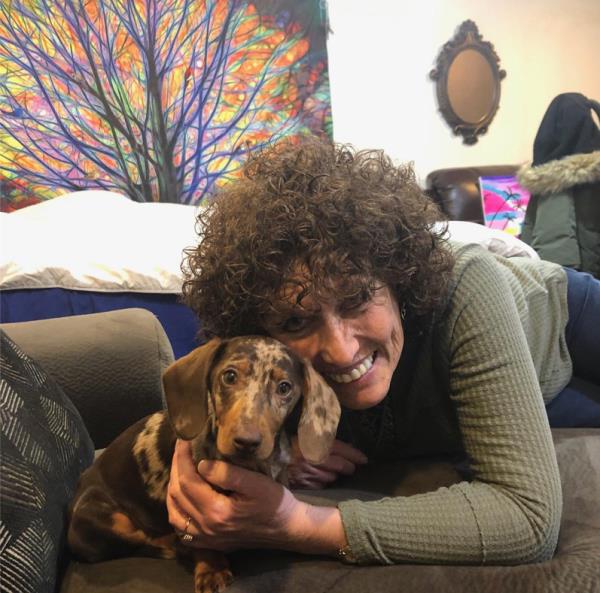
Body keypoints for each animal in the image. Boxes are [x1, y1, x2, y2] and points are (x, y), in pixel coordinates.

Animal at [67, 336, 340, 592]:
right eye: (229, 376)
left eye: (284, 387)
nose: (247, 442)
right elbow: (202, 539)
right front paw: (211, 568)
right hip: (104, 516)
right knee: (141, 539)